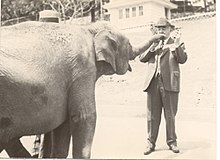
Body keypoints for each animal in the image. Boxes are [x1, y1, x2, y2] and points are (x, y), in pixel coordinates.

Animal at [0, 20, 164, 158]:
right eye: (129, 44)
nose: (160, 34)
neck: (89, 28)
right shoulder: (82, 69)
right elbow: (84, 116)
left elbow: (64, 124)